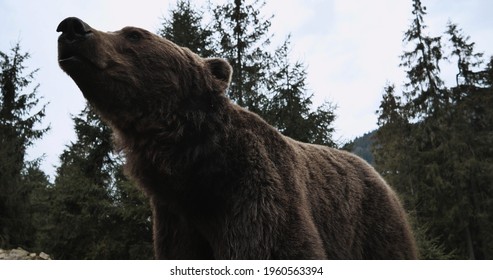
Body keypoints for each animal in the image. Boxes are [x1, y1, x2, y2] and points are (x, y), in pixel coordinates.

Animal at [56, 16, 416, 260]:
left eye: (133, 34)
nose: (71, 27)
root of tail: (380, 177)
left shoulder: (254, 190)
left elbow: (278, 246)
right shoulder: (176, 215)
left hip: (371, 226)